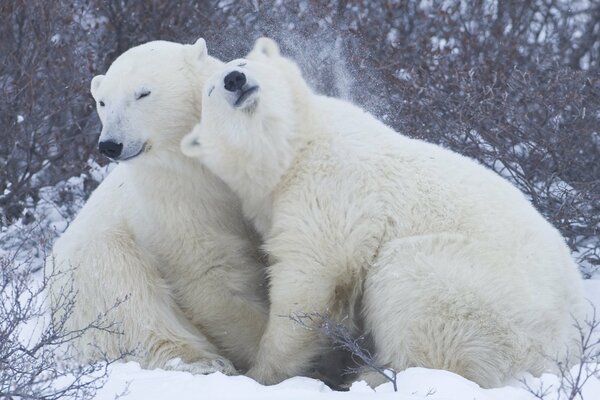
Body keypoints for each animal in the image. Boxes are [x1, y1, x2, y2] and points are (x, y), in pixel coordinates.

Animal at [48, 37, 268, 376]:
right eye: (103, 102)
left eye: (142, 93)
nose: (110, 144)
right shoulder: (174, 200)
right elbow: (211, 274)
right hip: (88, 273)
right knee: (127, 295)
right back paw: (201, 362)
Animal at [182, 38, 584, 388]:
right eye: (211, 91)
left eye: (243, 63)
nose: (235, 80)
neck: (295, 149)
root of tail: (567, 348)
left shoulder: (330, 186)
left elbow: (311, 276)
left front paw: (262, 374)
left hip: (483, 294)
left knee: (410, 284)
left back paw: (374, 375)